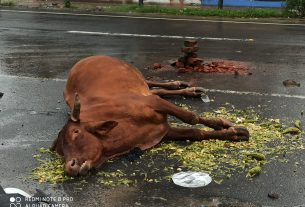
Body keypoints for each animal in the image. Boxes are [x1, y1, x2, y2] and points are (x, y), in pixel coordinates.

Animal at [51, 55, 248, 175]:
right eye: (61, 151)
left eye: (75, 133)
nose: (70, 166)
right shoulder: (164, 130)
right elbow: (196, 133)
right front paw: (233, 133)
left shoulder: (152, 103)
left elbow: (191, 117)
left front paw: (226, 125)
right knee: (157, 89)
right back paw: (186, 88)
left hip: (138, 77)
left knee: (153, 84)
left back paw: (183, 86)